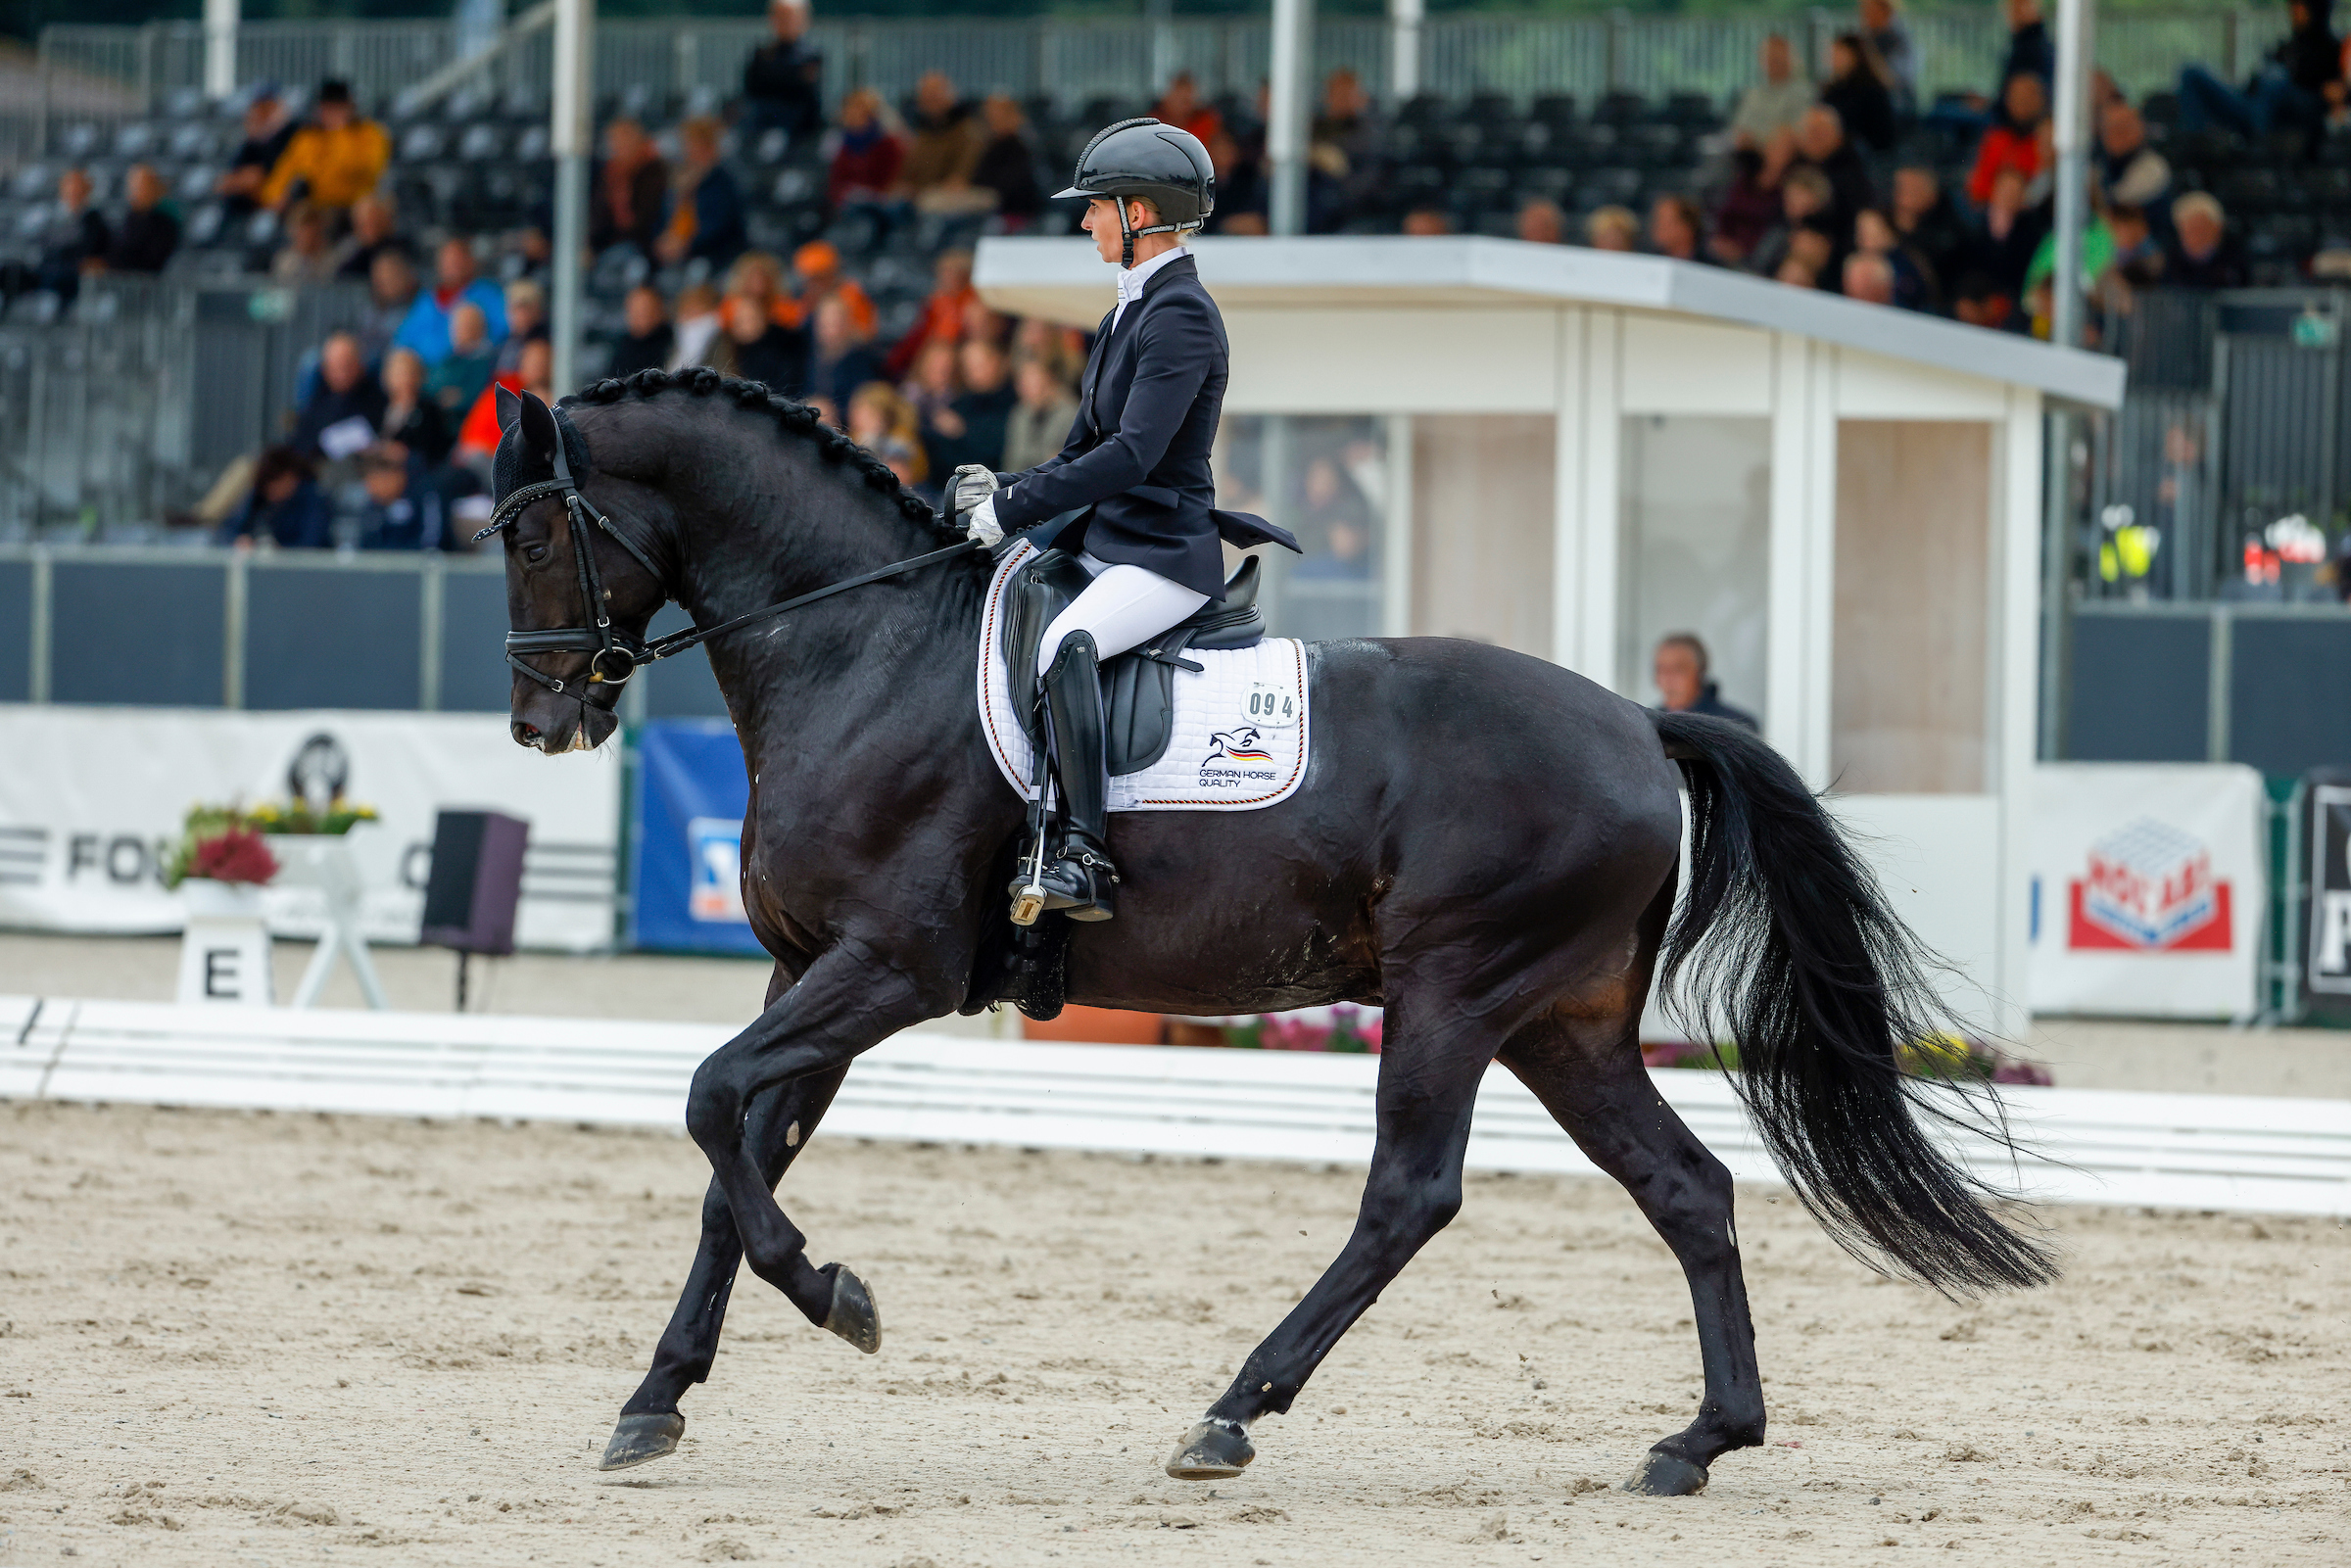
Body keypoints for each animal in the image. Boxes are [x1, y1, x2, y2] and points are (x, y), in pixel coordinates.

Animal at [496, 373, 2059, 1504]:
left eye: (528, 530)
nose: (540, 720)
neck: (859, 649)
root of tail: (1636, 716)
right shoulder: (803, 964)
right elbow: (730, 1160)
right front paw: (653, 1400)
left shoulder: (889, 966)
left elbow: (711, 1101)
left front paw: (841, 1299)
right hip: (1562, 1021)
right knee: (1687, 1190)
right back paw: (1697, 1441)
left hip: (1452, 992)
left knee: (1409, 1195)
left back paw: (1233, 1411)